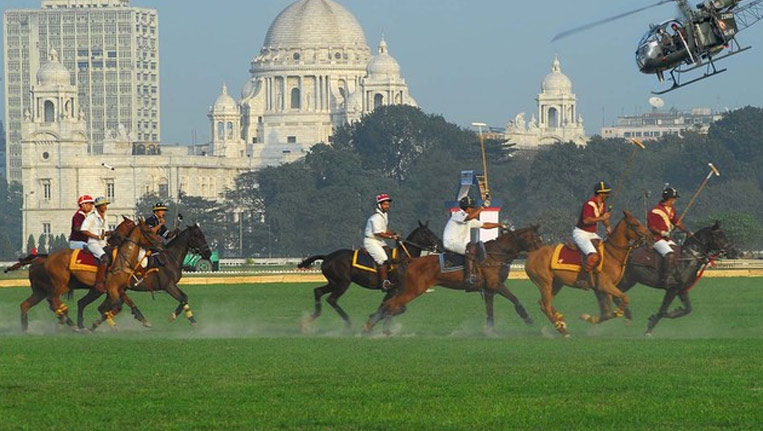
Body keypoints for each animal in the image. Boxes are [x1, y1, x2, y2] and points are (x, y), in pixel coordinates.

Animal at [296, 223, 442, 330]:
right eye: (427, 233)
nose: (440, 245)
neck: (403, 258)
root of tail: (327, 257)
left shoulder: (391, 291)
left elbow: (387, 307)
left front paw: (373, 320)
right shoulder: (395, 289)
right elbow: (397, 308)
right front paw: (374, 319)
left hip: (333, 282)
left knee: (318, 291)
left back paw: (309, 320)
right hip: (343, 283)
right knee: (332, 299)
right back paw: (348, 323)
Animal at [362, 226, 544, 334]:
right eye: (537, 239)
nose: (544, 252)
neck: (495, 255)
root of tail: (411, 261)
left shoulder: (489, 290)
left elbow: (490, 311)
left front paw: (491, 331)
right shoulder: (496, 285)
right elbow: (515, 299)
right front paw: (527, 318)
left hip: (406, 289)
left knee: (389, 305)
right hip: (414, 290)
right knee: (392, 305)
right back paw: (371, 328)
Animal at [524, 211, 652, 340]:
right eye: (635, 224)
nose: (650, 237)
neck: (611, 254)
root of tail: (532, 254)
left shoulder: (605, 289)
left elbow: (607, 313)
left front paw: (590, 318)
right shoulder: (604, 285)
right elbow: (624, 298)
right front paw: (624, 316)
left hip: (556, 284)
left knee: (544, 303)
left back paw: (561, 323)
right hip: (544, 283)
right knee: (545, 305)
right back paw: (562, 329)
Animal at [592, 223, 736, 338]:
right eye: (719, 236)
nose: (733, 252)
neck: (688, 258)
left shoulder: (681, 289)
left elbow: (686, 309)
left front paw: (662, 315)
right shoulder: (672, 289)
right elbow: (662, 310)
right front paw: (649, 328)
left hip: (630, 281)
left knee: (613, 294)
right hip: (624, 279)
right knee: (608, 293)